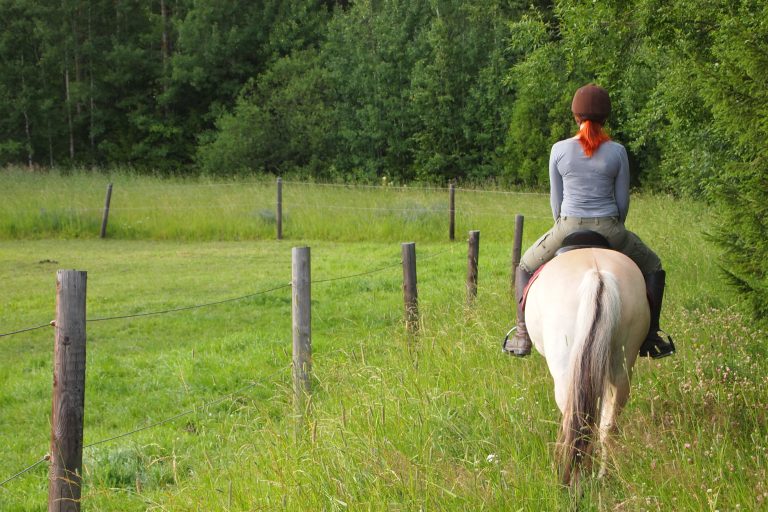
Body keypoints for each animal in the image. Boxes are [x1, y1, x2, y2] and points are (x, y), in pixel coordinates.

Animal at [520, 246, 648, 486]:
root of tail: (598, 275)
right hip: (622, 366)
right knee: (607, 426)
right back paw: (602, 475)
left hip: (565, 373)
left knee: (576, 424)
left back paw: (574, 478)